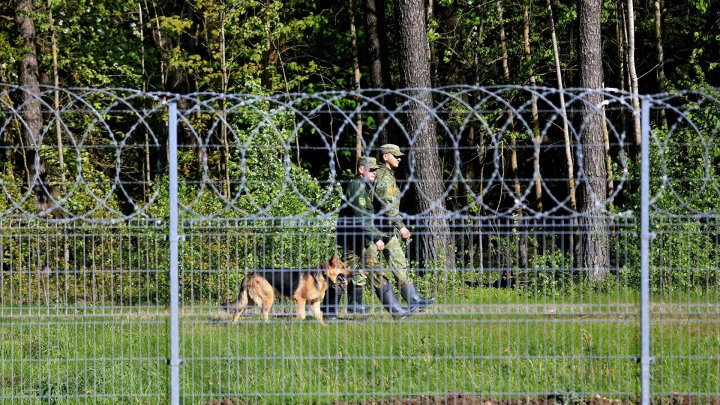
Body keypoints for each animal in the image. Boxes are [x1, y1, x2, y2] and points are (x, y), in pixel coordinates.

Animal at [222, 254, 352, 324]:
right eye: (343, 267)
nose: (353, 273)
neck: (323, 275)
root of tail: (250, 274)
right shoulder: (299, 300)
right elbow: (302, 316)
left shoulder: (314, 303)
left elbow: (319, 318)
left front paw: (324, 328)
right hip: (268, 299)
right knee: (263, 315)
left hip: (249, 302)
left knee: (237, 312)